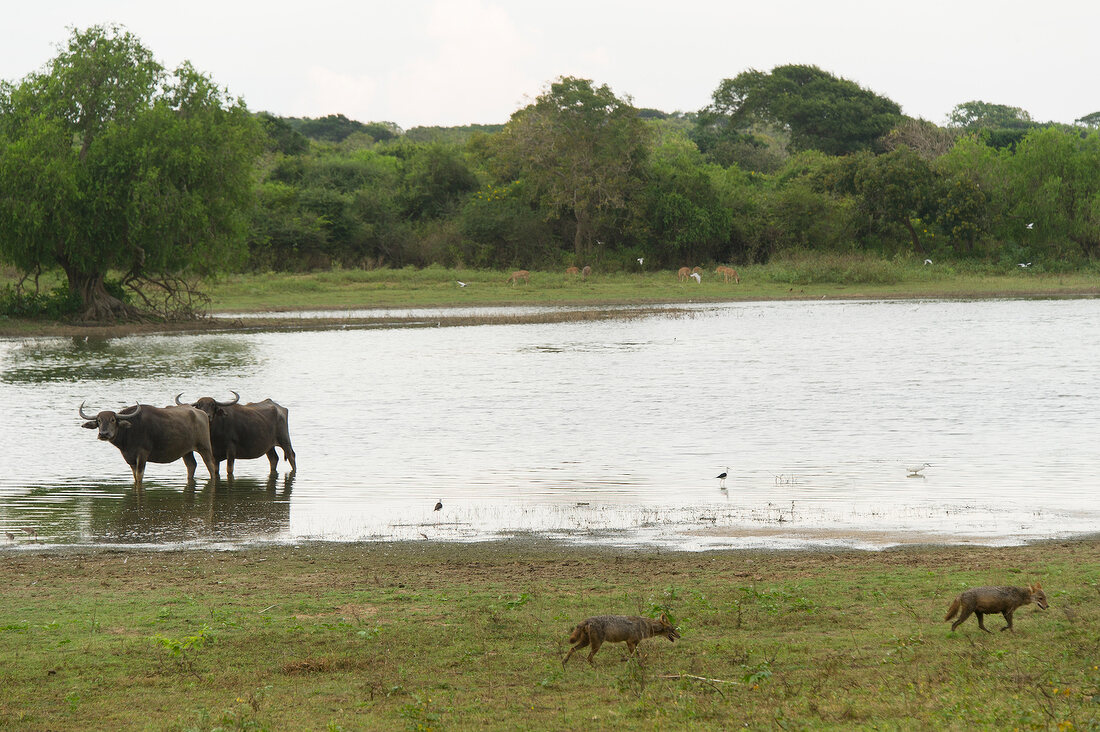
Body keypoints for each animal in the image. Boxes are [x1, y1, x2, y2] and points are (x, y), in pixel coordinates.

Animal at [79, 402, 216, 488]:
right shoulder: (130, 458)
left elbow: (140, 476)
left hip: (205, 447)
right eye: (99, 421)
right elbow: (135, 476)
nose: (103, 434)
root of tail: (201, 413)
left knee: (212, 466)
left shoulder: (142, 454)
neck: (129, 431)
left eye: (112, 420)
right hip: (186, 451)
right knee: (191, 465)